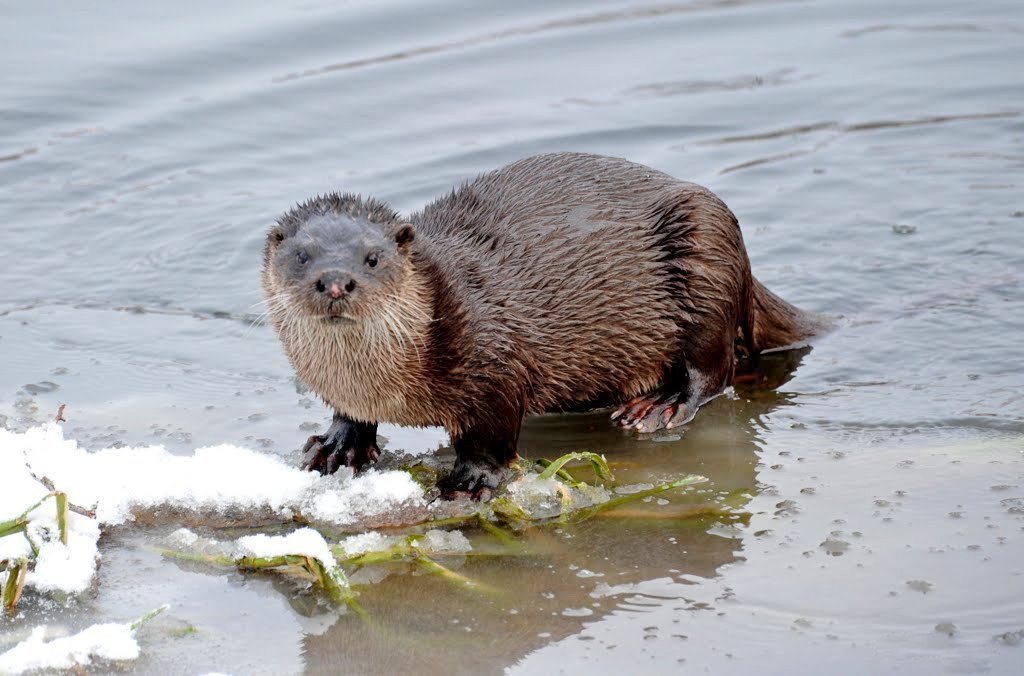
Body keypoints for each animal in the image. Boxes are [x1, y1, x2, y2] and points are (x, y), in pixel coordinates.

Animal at [262, 152, 823, 498]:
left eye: (372, 257)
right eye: (303, 255)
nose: (335, 282)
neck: (380, 384)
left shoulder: (493, 357)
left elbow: (492, 434)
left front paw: (469, 482)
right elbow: (349, 414)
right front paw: (340, 443)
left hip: (708, 251)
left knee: (713, 369)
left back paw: (659, 406)